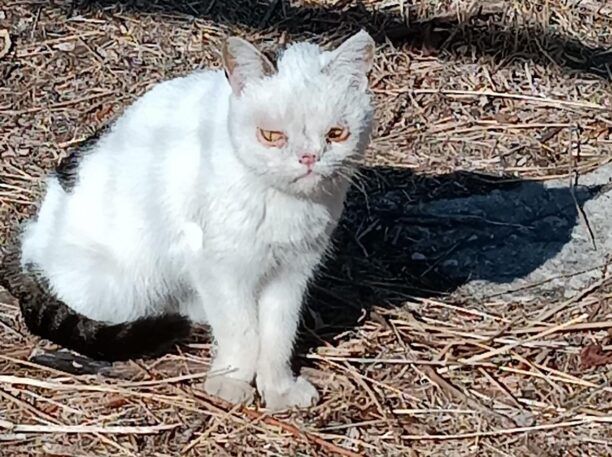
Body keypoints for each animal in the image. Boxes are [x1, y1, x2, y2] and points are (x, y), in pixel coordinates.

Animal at [7, 32, 376, 410]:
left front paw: (279, 388)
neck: (282, 202)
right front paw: (230, 381)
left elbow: (278, 335)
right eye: (271, 136)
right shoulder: (216, 266)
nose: (308, 158)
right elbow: (242, 330)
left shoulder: (292, 271)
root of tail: (30, 246)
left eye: (336, 134)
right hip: (124, 288)